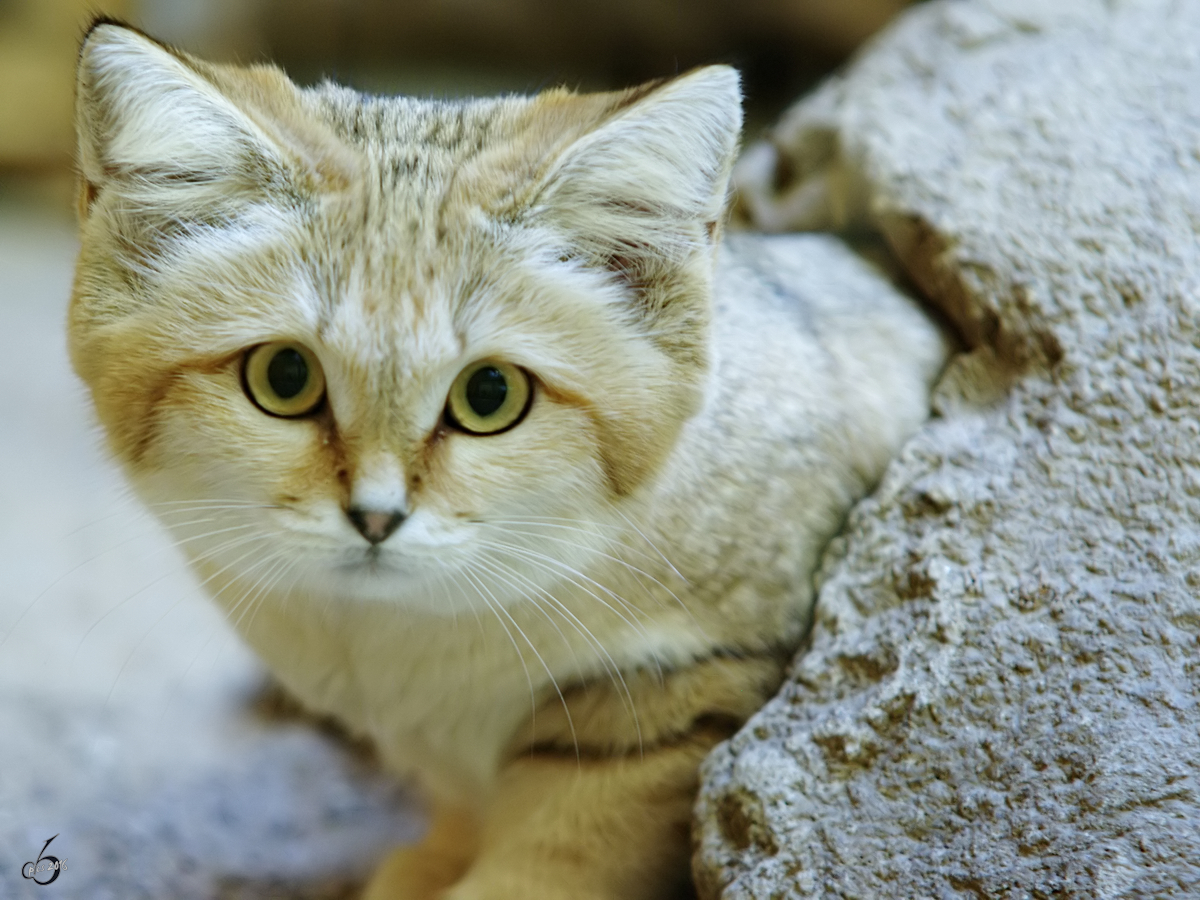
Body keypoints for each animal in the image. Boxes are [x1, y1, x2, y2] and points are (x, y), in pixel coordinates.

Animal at [70, 21, 945, 900]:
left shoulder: (682, 682)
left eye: (490, 394)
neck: (402, 644)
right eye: (284, 377)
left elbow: (562, 847)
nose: (375, 518)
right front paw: (428, 861)